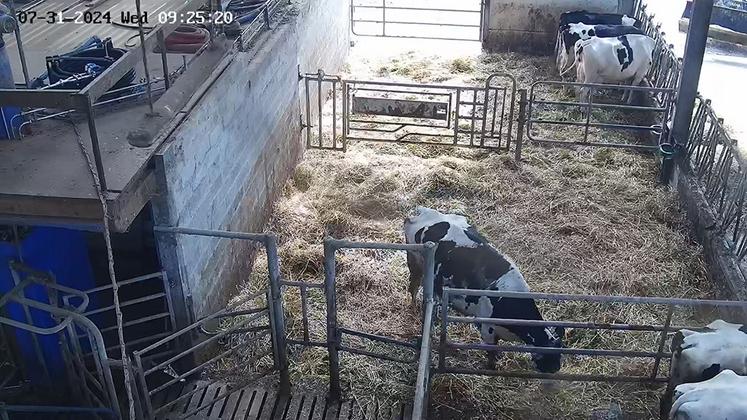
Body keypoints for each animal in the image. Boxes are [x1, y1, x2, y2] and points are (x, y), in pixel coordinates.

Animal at [404, 205, 568, 372]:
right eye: (547, 358)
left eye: (560, 353)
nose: (555, 369)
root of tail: (425, 211)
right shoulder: (487, 329)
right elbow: (491, 353)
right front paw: (491, 368)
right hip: (414, 260)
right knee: (413, 286)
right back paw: (414, 307)